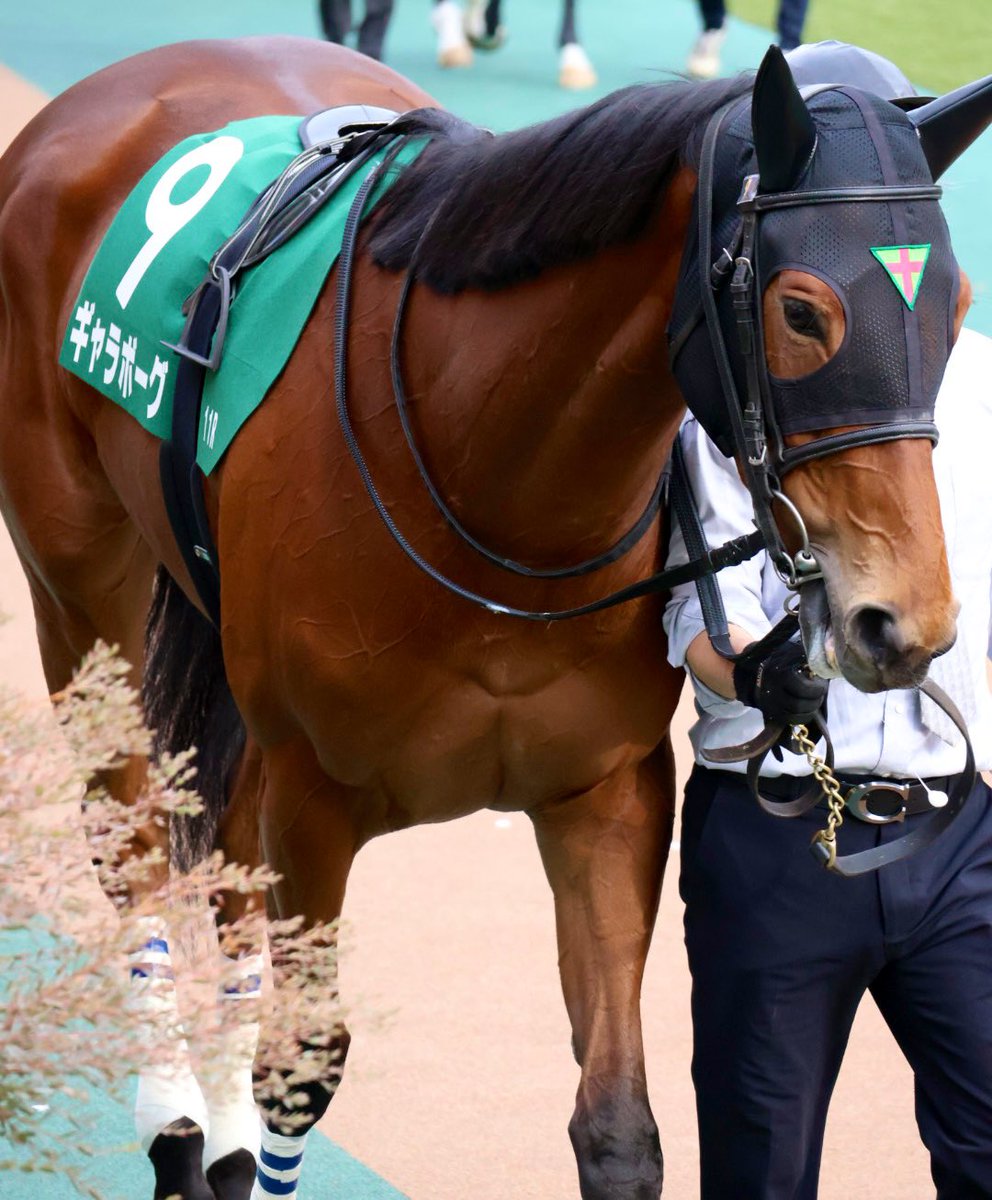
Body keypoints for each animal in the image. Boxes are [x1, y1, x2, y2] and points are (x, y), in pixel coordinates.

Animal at [1, 31, 989, 1200]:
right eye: (801, 311)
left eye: (956, 308)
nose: (903, 620)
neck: (493, 478)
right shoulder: (314, 801)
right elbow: (306, 1061)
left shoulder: (605, 793)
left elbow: (618, 1128)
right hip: (78, 590)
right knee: (132, 838)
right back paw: (179, 1122)